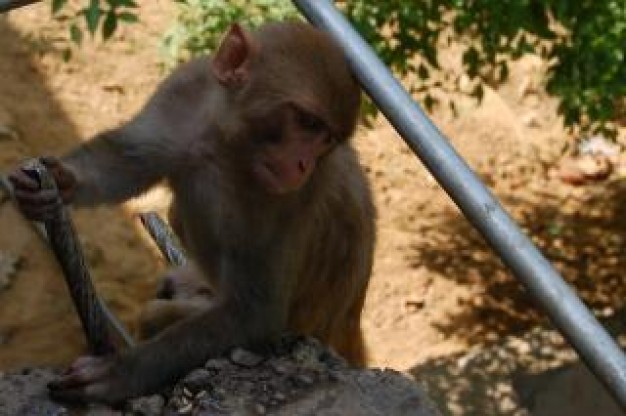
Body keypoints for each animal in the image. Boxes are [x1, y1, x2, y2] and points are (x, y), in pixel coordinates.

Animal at [7, 21, 372, 404]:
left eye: (326, 139)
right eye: (307, 122)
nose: (304, 165)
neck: (228, 143)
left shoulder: (295, 196)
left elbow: (253, 315)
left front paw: (121, 373)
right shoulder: (184, 90)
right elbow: (128, 160)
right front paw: (60, 182)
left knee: (157, 311)